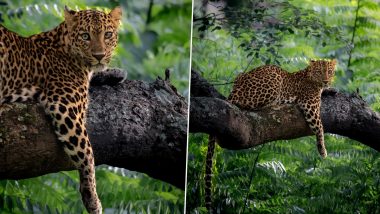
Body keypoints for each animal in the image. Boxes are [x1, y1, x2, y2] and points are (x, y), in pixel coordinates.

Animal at [0, 5, 121, 213]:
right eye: (85, 36)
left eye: (108, 34)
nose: (99, 56)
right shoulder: (66, 107)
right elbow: (88, 154)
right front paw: (92, 199)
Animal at [203, 59, 336, 212]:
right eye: (319, 72)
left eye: (330, 71)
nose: (326, 80)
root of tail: (236, 89)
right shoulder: (310, 105)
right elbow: (319, 127)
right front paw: (322, 150)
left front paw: (331, 89)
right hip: (273, 80)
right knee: (243, 103)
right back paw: (273, 104)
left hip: (241, 77)